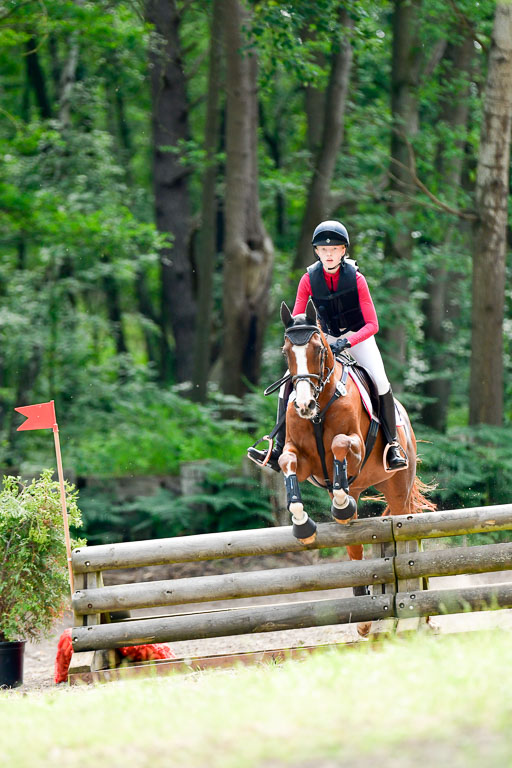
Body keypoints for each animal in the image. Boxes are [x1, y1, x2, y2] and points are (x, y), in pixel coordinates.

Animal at [278, 298, 434, 560]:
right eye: (285, 351)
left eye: (318, 349)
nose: (304, 405)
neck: (319, 411)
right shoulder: (305, 462)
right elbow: (286, 461)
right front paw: (302, 525)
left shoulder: (357, 448)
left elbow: (339, 443)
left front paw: (340, 506)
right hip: (357, 488)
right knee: (354, 544)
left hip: (399, 489)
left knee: (403, 519)